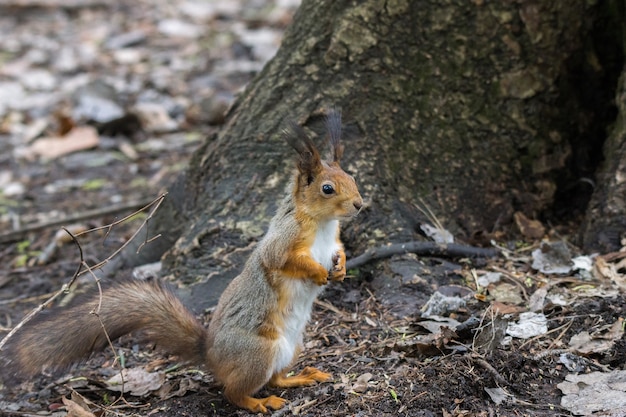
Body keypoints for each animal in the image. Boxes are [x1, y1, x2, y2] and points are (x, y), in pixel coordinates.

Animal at [1, 109, 360, 414]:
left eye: (352, 178)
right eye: (327, 189)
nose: (359, 204)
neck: (322, 224)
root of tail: (211, 355)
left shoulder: (333, 239)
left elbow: (340, 249)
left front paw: (340, 266)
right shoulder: (282, 241)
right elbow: (281, 262)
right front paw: (318, 272)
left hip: (292, 347)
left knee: (274, 378)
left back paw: (299, 377)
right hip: (257, 352)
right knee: (234, 392)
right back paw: (259, 402)